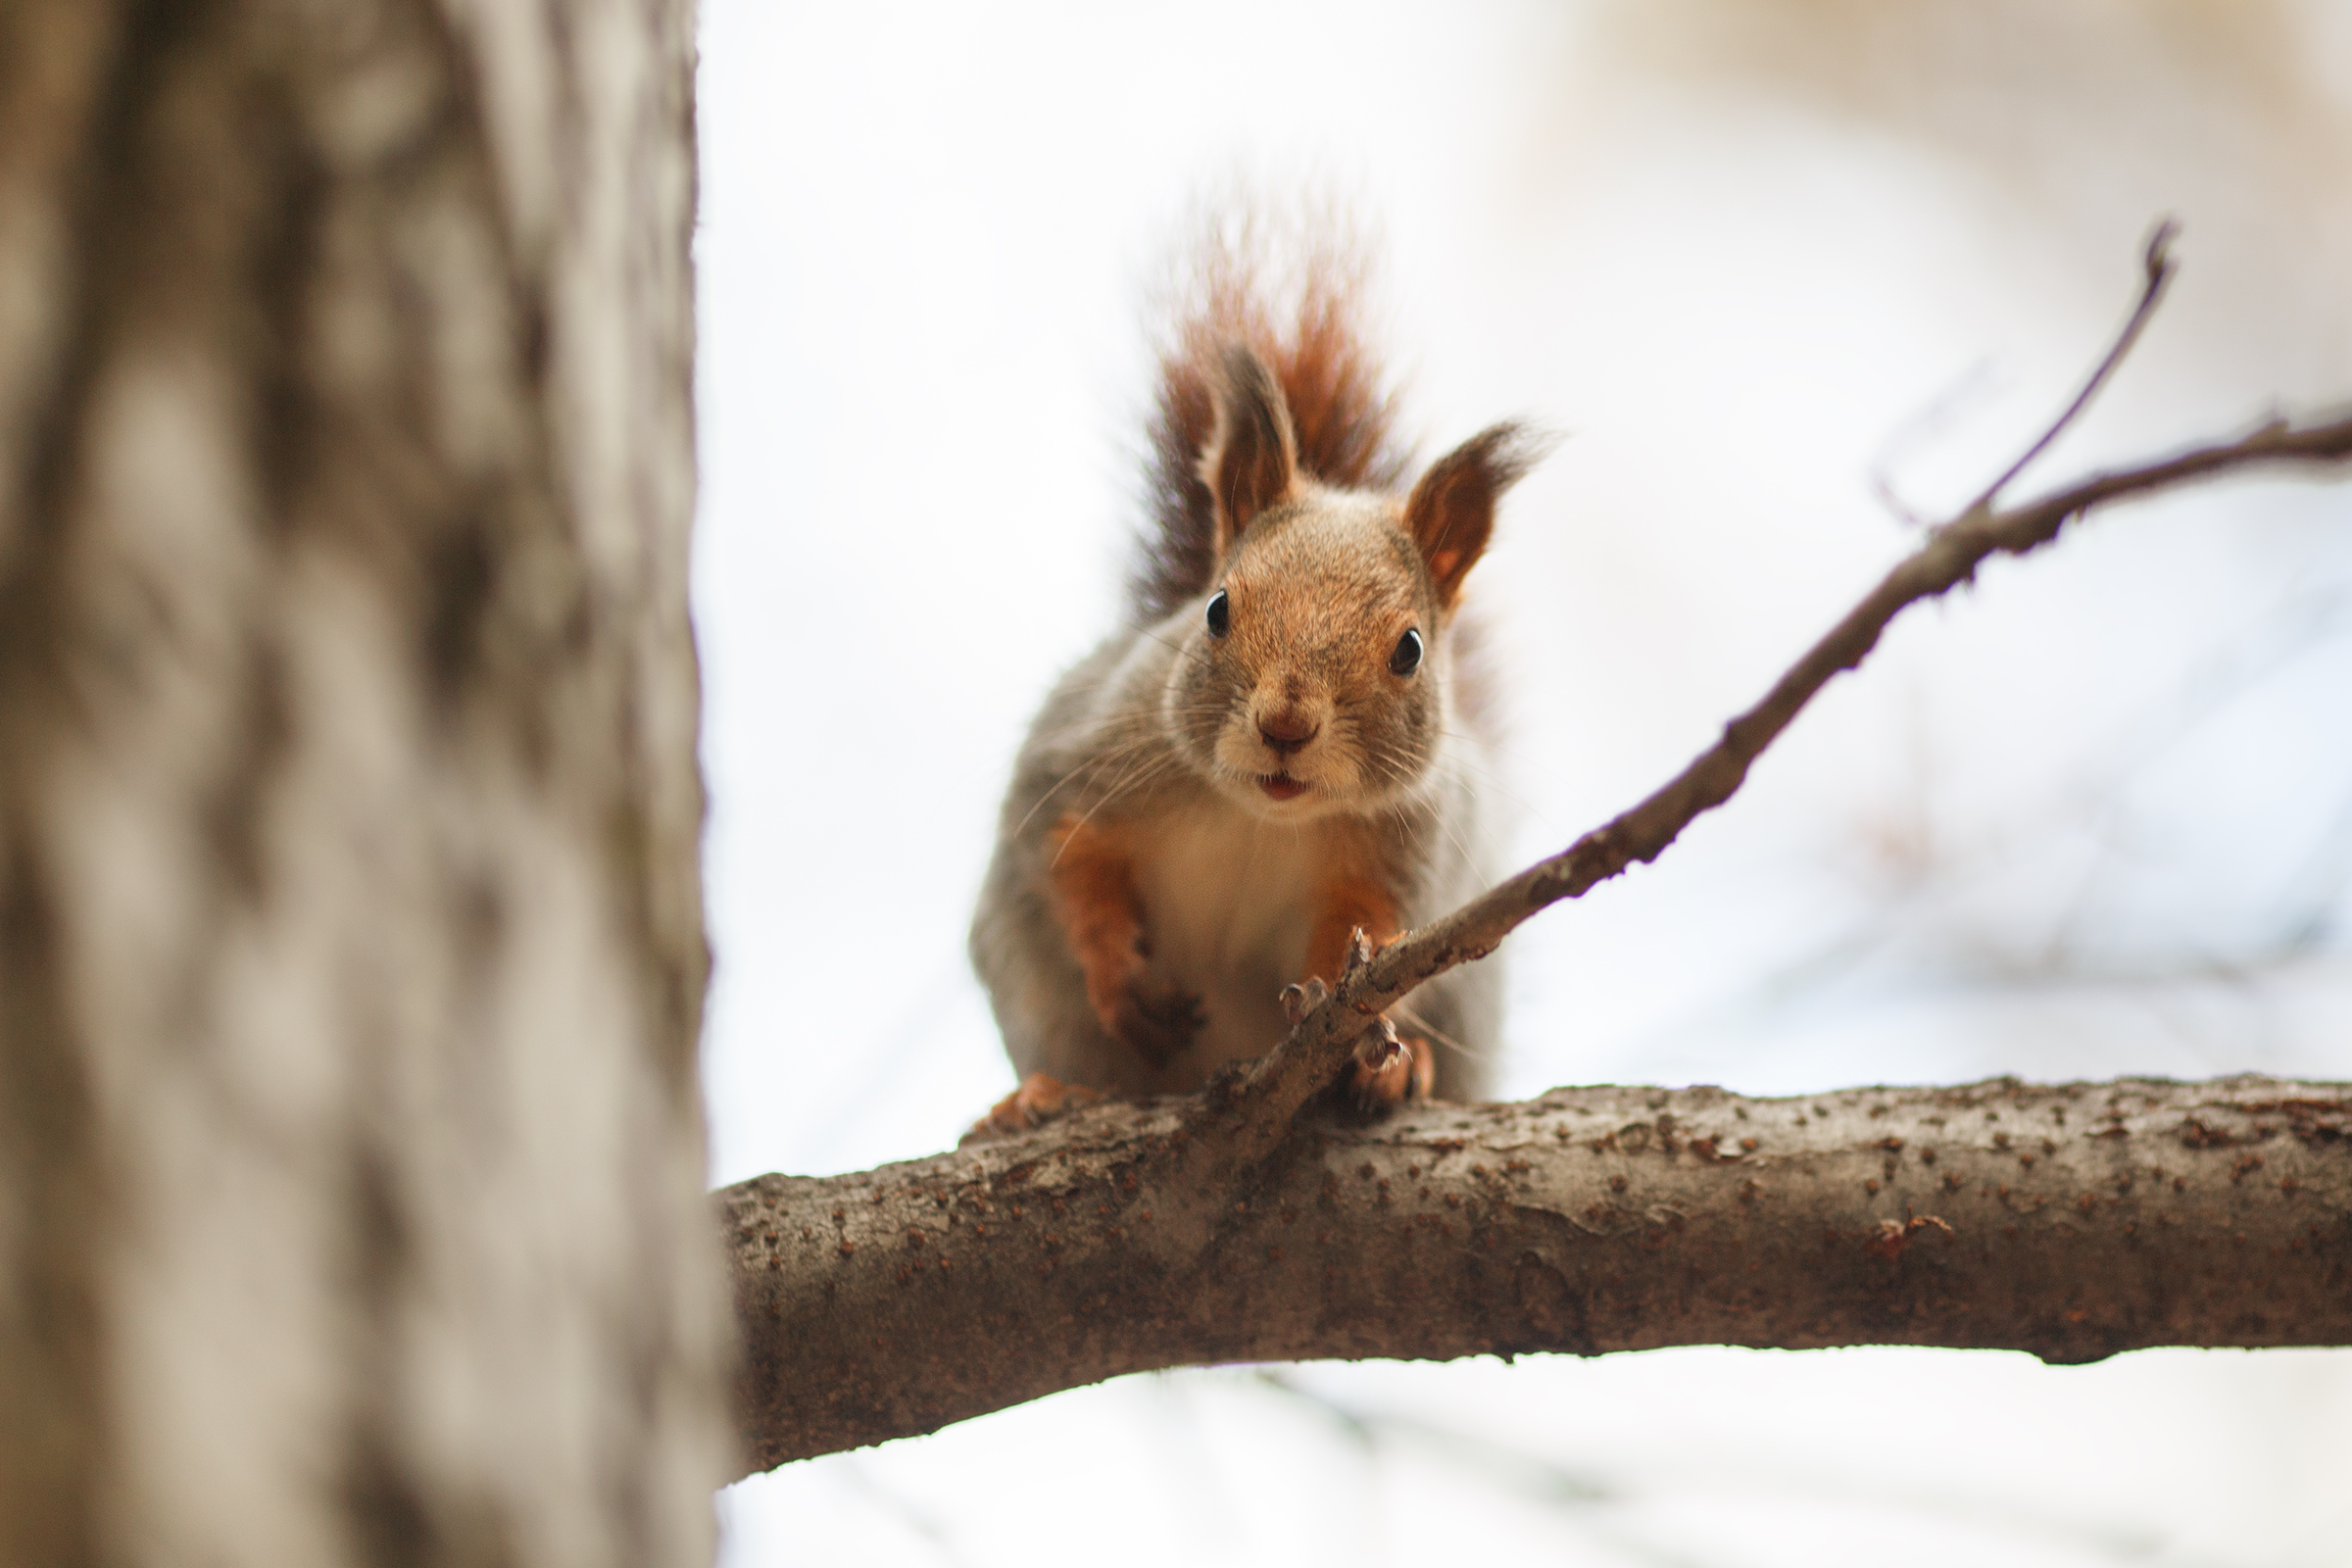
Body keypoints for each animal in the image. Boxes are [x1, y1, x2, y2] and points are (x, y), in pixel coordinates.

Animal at [959, 217, 1543, 1142]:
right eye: (1216, 608)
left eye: (1411, 649)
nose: (1285, 727)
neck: (1260, 815)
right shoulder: (1090, 751)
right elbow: (1071, 855)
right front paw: (1120, 974)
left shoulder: (1404, 850)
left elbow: (1361, 938)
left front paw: (1358, 1041)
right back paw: (1042, 1095)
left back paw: (1406, 1071)